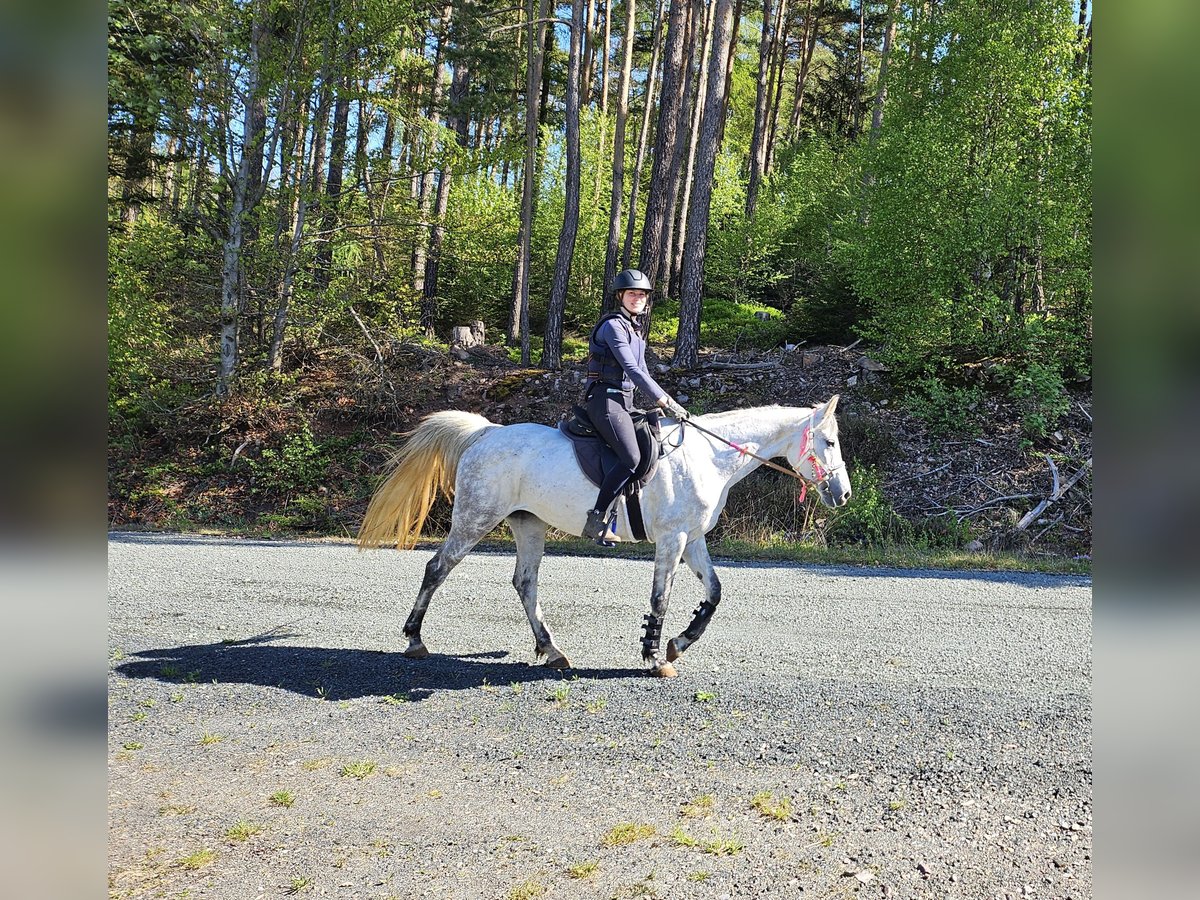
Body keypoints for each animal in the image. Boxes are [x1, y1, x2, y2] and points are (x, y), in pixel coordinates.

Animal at [357, 397, 851, 677]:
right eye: (828, 441)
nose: (843, 494)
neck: (709, 456)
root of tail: (486, 433)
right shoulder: (672, 540)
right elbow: (660, 599)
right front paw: (655, 657)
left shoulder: (692, 539)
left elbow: (713, 593)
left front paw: (679, 643)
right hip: (476, 518)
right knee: (437, 567)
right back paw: (415, 640)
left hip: (528, 522)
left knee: (524, 582)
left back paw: (552, 650)